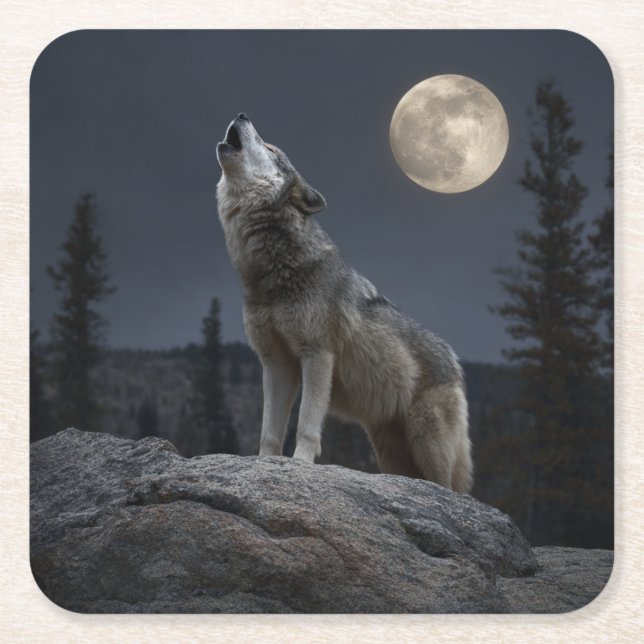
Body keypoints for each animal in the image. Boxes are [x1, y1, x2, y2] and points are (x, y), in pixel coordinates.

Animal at [216, 113, 473, 492]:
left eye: (270, 148)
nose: (243, 114)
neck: (271, 274)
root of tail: (455, 361)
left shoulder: (317, 354)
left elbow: (307, 423)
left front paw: (300, 465)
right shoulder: (275, 364)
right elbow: (269, 431)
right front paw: (264, 465)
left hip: (427, 443)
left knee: (450, 489)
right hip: (389, 450)